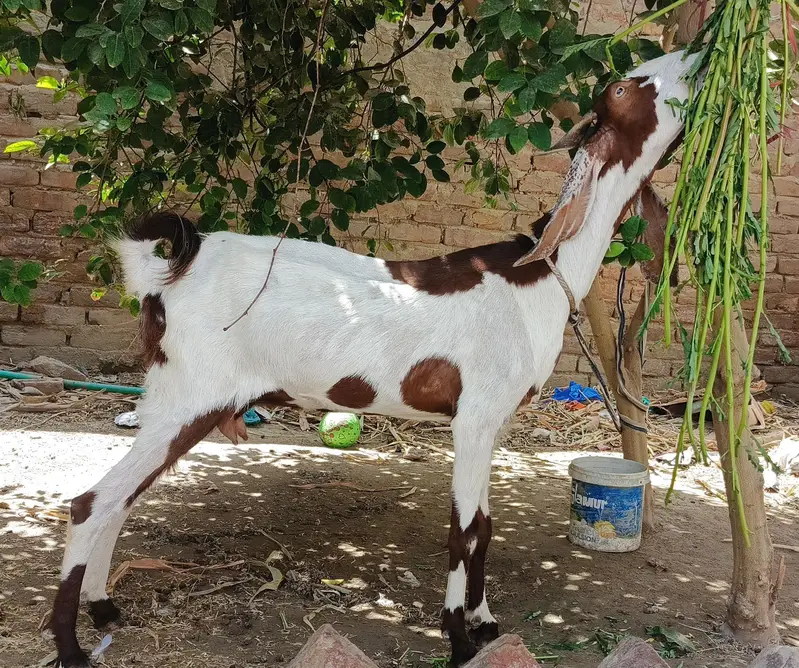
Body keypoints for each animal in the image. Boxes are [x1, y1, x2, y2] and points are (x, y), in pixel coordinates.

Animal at [48, 49, 698, 668]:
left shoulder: (494, 423)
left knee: (121, 498)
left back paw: (104, 609)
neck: (537, 273)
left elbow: (486, 529)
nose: (695, 58)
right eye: (625, 87)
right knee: (90, 503)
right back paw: (71, 646)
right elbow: (464, 532)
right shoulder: (473, 417)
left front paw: (486, 625)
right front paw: (458, 641)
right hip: (191, 396)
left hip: (174, 400)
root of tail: (169, 272)